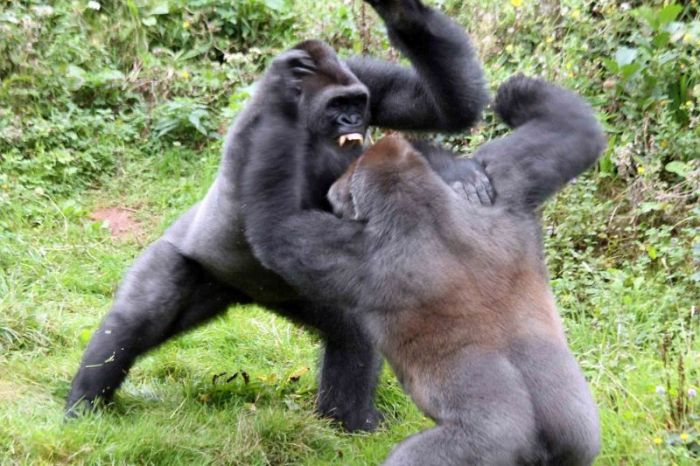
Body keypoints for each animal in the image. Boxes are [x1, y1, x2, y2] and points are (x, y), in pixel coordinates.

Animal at [67, 0, 492, 432]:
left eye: (356, 103)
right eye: (337, 106)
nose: (353, 121)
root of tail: (241, 294)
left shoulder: (361, 75)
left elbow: (442, 109)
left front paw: (404, 15)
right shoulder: (263, 131)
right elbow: (284, 224)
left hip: (269, 289)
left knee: (348, 332)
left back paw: (345, 416)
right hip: (191, 259)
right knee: (136, 320)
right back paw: (84, 401)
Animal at [243, 74, 604, 464]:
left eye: (343, 187)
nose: (332, 193)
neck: (420, 201)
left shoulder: (355, 252)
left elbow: (275, 230)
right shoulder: (506, 184)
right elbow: (572, 132)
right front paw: (515, 96)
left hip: (484, 445)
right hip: (579, 434)